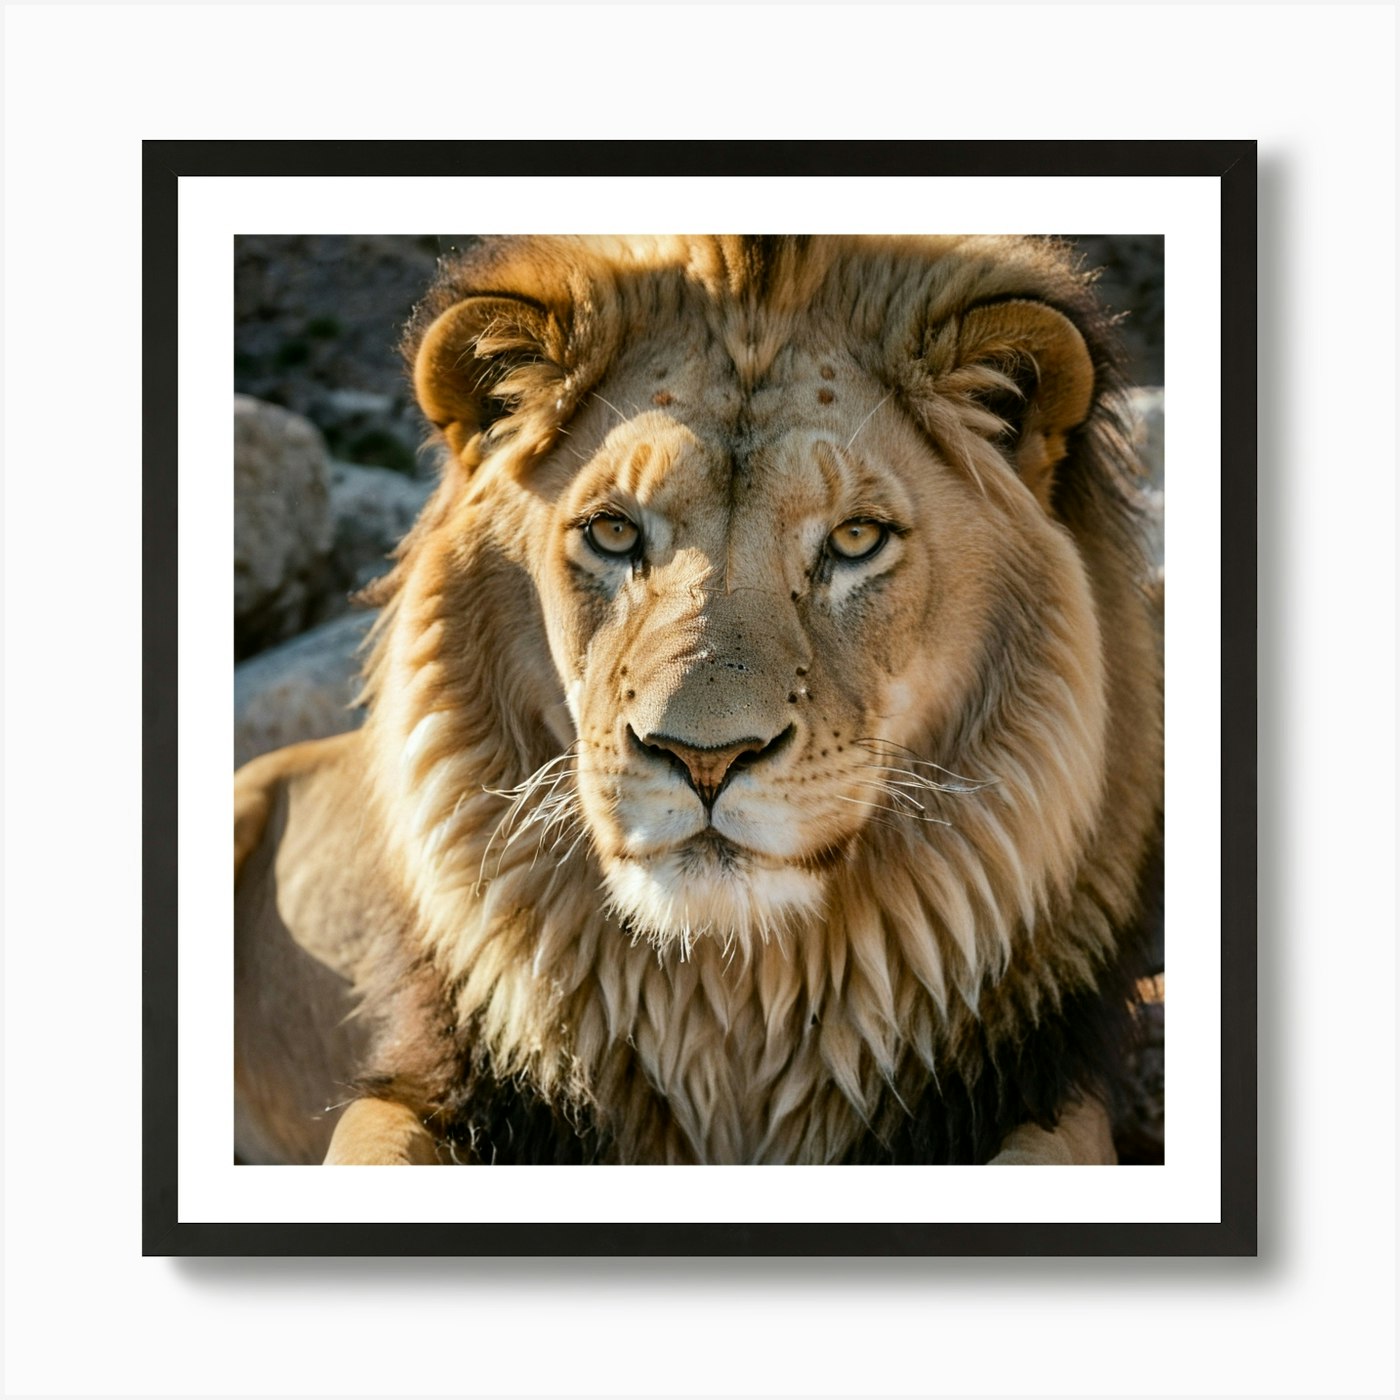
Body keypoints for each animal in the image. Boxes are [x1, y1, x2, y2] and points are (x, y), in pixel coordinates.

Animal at [234, 235, 1162, 1167]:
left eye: (856, 538)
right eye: (614, 531)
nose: (705, 759)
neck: (726, 1002)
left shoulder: (1032, 1094)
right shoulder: (437, 1082)